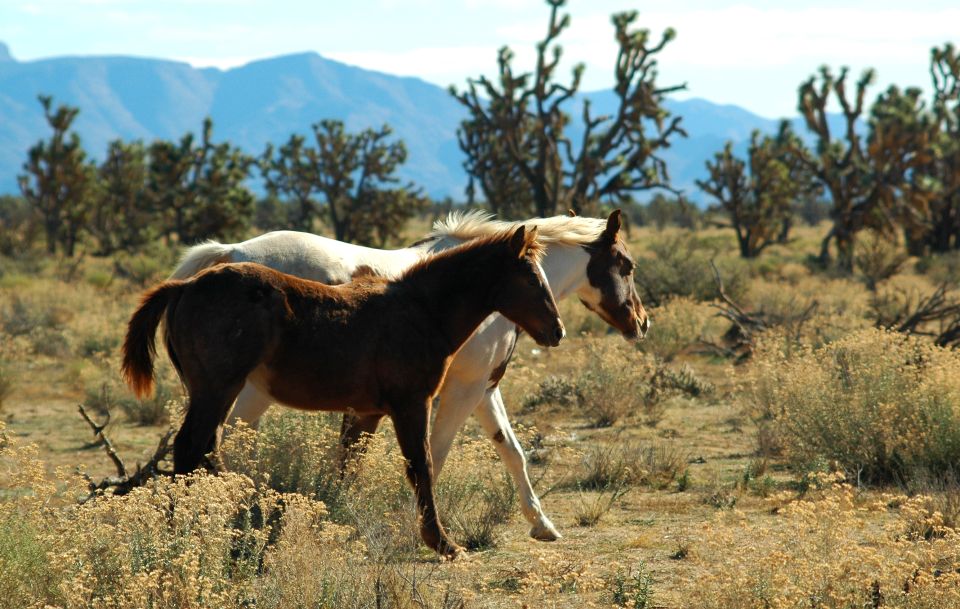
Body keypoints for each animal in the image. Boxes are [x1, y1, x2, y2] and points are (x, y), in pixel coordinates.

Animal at [124, 226, 568, 560]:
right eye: (532, 278)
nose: (557, 331)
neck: (420, 310)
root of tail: (184, 286)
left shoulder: (367, 411)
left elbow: (349, 467)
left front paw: (339, 522)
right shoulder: (412, 403)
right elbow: (421, 466)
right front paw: (443, 544)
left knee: (204, 450)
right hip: (217, 389)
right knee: (191, 448)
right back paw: (187, 528)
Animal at [172, 210, 652, 540]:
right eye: (626, 265)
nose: (641, 323)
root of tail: (231, 254)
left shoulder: (483, 389)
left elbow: (511, 451)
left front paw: (542, 524)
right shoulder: (459, 391)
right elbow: (433, 456)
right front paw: (409, 523)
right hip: (250, 393)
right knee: (224, 443)